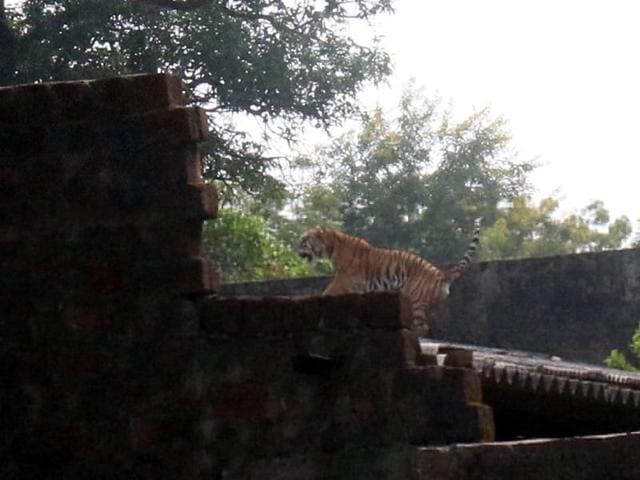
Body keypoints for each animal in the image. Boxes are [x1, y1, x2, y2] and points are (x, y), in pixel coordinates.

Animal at [297, 219, 482, 334]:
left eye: (304, 240)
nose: (296, 250)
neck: (331, 246)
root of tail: (442, 273)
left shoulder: (344, 278)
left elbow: (329, 291)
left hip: (415, 300)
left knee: (422, 328)